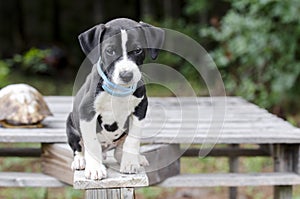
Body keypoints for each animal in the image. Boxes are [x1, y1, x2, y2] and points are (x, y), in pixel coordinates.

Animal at [66, 18, 164, 180]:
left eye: (138, 50)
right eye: (110, 50)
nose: (126, 75)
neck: (119, 90)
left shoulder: (140, 109)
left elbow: (133, 140)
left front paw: (130, 163)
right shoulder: (87, 111)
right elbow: (92, 142)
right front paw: (95, 168)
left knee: (120, 149)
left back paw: (135, 158)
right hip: (71, 124)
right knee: (79, 146)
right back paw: (81, 160)